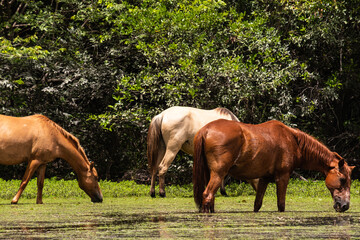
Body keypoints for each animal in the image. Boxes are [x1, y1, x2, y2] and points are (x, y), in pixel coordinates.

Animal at [194, 119, 354, 213]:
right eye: (342, 180)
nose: (345, 206)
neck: (293, 140)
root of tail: (205, 129)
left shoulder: (264, 179)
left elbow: (257, 205)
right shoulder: (283, 177)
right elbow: (281, 205)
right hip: (218, 174)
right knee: (207, 195)